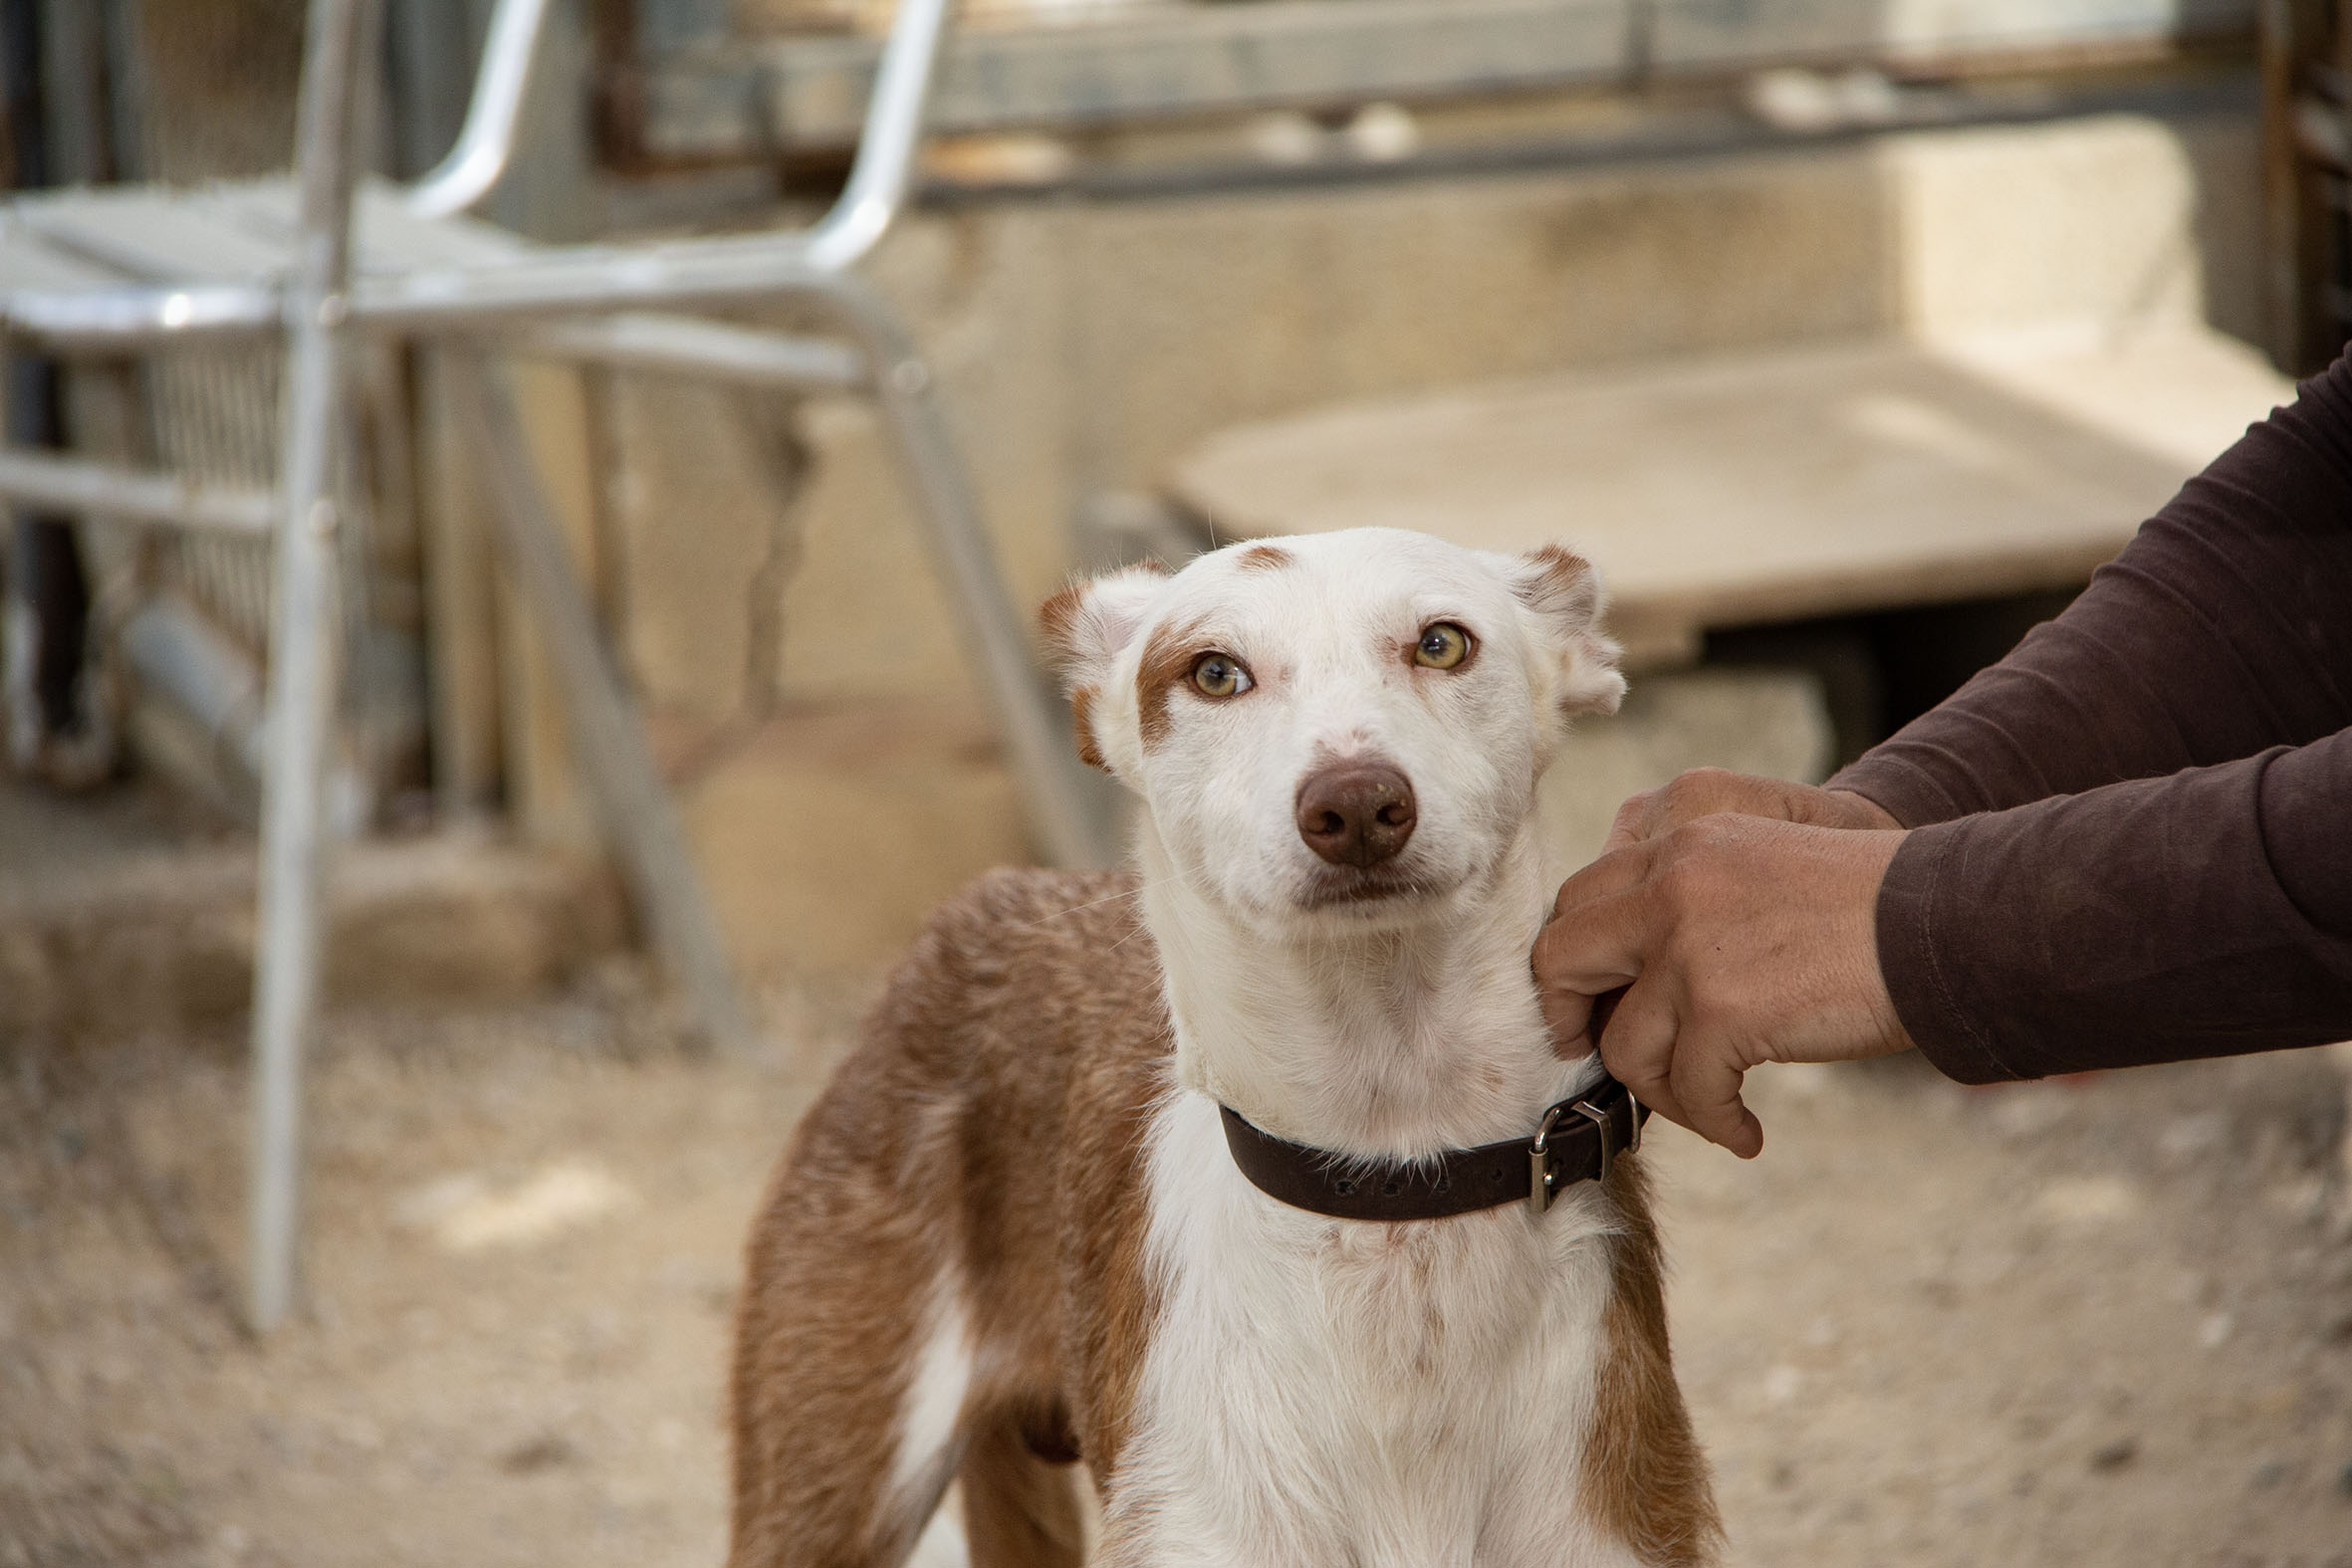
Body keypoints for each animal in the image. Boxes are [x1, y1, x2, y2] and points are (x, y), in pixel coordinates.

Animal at [730, 527, 1719, 1568]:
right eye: (1213, 672)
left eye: (1443, 643)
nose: (1356, 803)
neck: (1394, 1177)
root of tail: (984, 897)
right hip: (824, 1490)